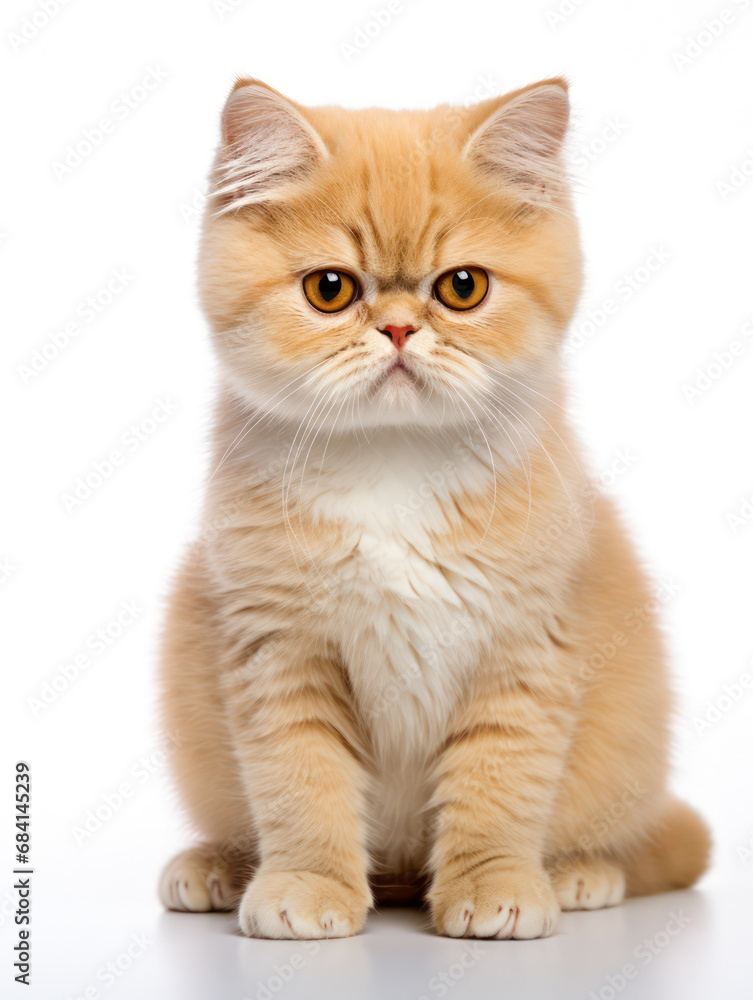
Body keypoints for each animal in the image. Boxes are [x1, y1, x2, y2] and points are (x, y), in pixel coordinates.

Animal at [156, 76, 708, 936]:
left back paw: (578, 872)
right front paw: (306, 883)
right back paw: (215, 866)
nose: (396, 328)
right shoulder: (277, 647)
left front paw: (494, 886)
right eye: (329, 289)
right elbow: (299, 780)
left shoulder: (520, 645)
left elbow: (499, 780)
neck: (393, 464)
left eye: (461, 287)